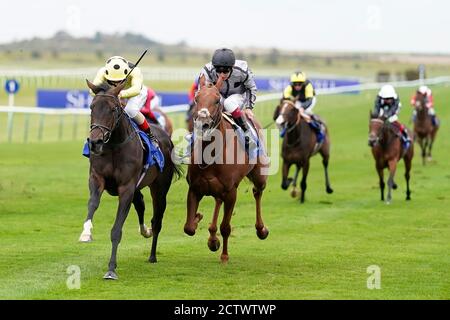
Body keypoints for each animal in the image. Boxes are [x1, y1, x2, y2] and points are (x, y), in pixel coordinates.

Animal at [80, 80, 180, 280]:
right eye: (92, 106)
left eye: (113, 109)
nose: (95, 142)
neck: (113, 145)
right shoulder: (97, 178)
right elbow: (92, 203)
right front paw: (86, 232)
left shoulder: (126, 188)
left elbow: (116, 230)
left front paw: (111, 269)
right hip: (138, 187)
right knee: (140, 203)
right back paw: (145, 231)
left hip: (159, 188)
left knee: (157, 219)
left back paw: (152, 255)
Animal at [183, 77, 268, 262]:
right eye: (196, 98)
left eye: (217, 100)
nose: (202, 123)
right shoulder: (194, 188)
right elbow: (189, 228)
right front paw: (199, 219)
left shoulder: (231, 192)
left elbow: (226, 227)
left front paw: (224, 255)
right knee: (217, 200)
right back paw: (212, 237)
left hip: (260, 176)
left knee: (257, 192)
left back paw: (261, 229)